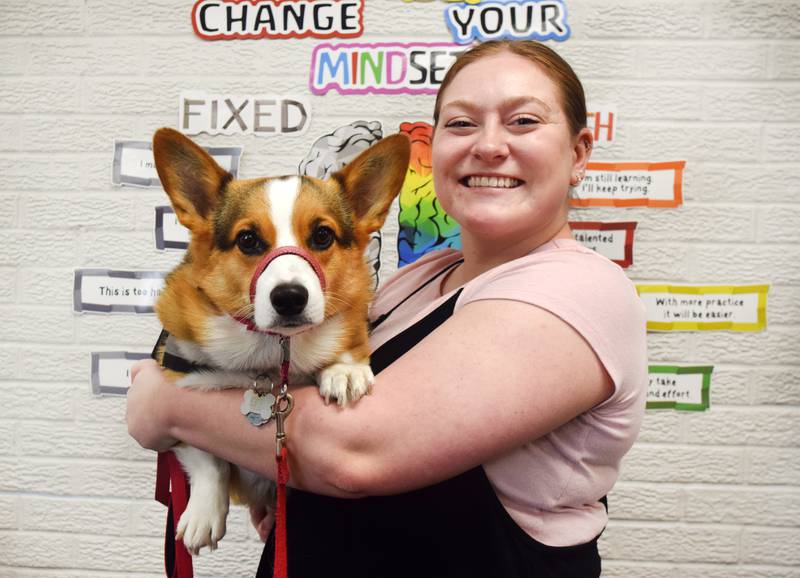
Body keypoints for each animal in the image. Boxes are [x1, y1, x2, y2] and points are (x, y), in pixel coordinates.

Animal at [152, 128, 412, 552]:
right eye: (248, 240)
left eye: (322, 235)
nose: (289, 298)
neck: (275, 352)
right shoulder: (178, 391)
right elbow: (207, 458)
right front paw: (204, 513)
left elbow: (346, 344)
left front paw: (344, 372)